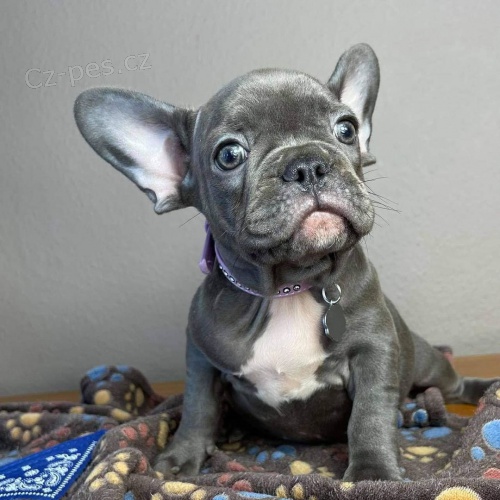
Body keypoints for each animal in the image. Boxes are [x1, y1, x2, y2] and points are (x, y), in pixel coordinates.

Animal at [74, 43, 498, 481]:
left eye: (346, 129)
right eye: (229, 155)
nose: (307, 164)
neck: (287, 288)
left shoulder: (374, 351)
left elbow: (370, 414)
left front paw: (373, 473)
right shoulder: (201, 357)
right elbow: (197, 406)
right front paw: (180, 459)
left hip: (426, 361)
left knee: (450, 384)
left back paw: (479, 391)